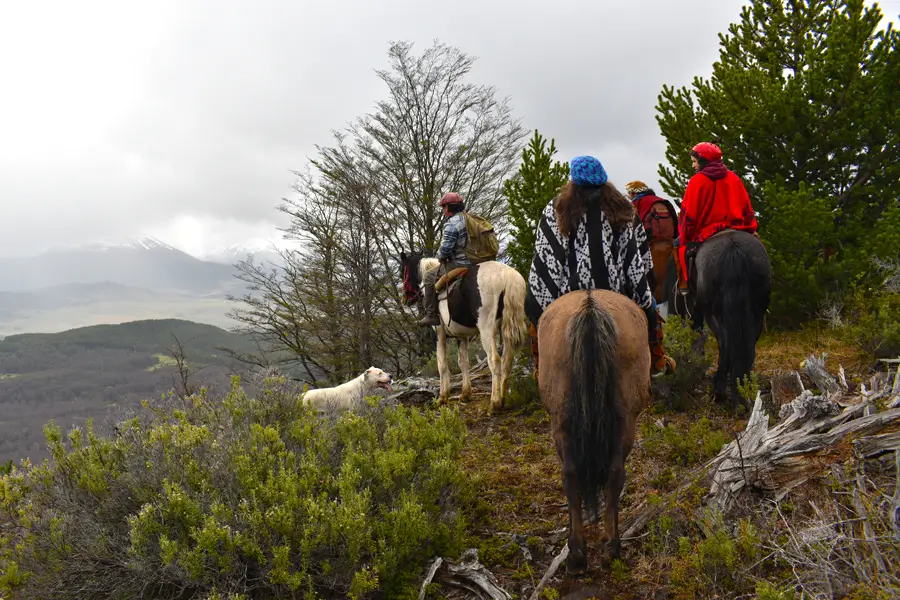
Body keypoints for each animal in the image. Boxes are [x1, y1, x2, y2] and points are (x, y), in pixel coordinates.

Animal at [399, 251, 528, 414]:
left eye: (401, 271)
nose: (405, 300)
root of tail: (506, 275)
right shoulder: (461, 336)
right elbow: (463, 362)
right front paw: (465, 394)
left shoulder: (439, 335)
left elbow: (442, 364)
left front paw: (442, 398)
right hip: (506, 331)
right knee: (507, 360)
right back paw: (503, 398)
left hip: (486, 331)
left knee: (494, 360)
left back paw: (495, 402)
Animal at [537, 288, 650, 575]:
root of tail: (589, 306)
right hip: (623, 420)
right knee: (609, 473)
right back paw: (606, 548)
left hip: (562, 422)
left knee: (573, 474)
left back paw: (581, 551)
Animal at [663, 230, 771, 408]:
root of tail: (734, 250)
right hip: (756, 312)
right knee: (748, 343)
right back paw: (741, 392)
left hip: (712, 313)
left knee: (724, 343)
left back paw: (720, 392)